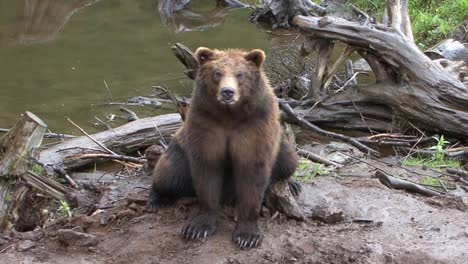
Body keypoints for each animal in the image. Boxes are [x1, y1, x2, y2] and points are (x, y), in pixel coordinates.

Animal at [147, 48, 300, 250]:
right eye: (217, 73)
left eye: (240, 74)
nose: (228, 92)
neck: (230, 116)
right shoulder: (206, 125)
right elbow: (207, 171)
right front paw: (197, 227)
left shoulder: (255, 127)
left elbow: (253, 174)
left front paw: (247, 235)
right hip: (178, 152)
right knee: (168, 174)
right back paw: (156, 198)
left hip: (282, 144)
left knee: (288, 161)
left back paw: (292, 184)